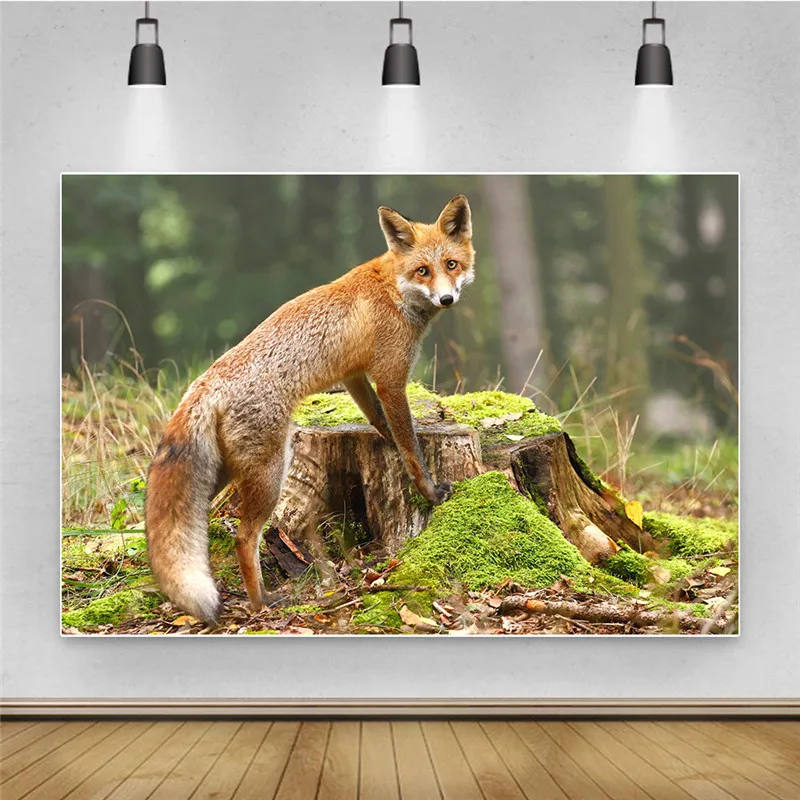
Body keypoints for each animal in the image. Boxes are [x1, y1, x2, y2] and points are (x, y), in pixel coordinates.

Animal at [145, 195, 476, 623]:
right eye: (423, 271)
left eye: (451, 265)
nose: (447, 299)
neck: (394, 289)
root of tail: (206, 382)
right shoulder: (390, 378)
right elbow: (412, 449)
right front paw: (431, 492)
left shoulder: (354, 377)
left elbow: (382, 423)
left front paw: (390, 443)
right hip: (271, 471)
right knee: (243, 537)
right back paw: (260, 603)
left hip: (221, 473)